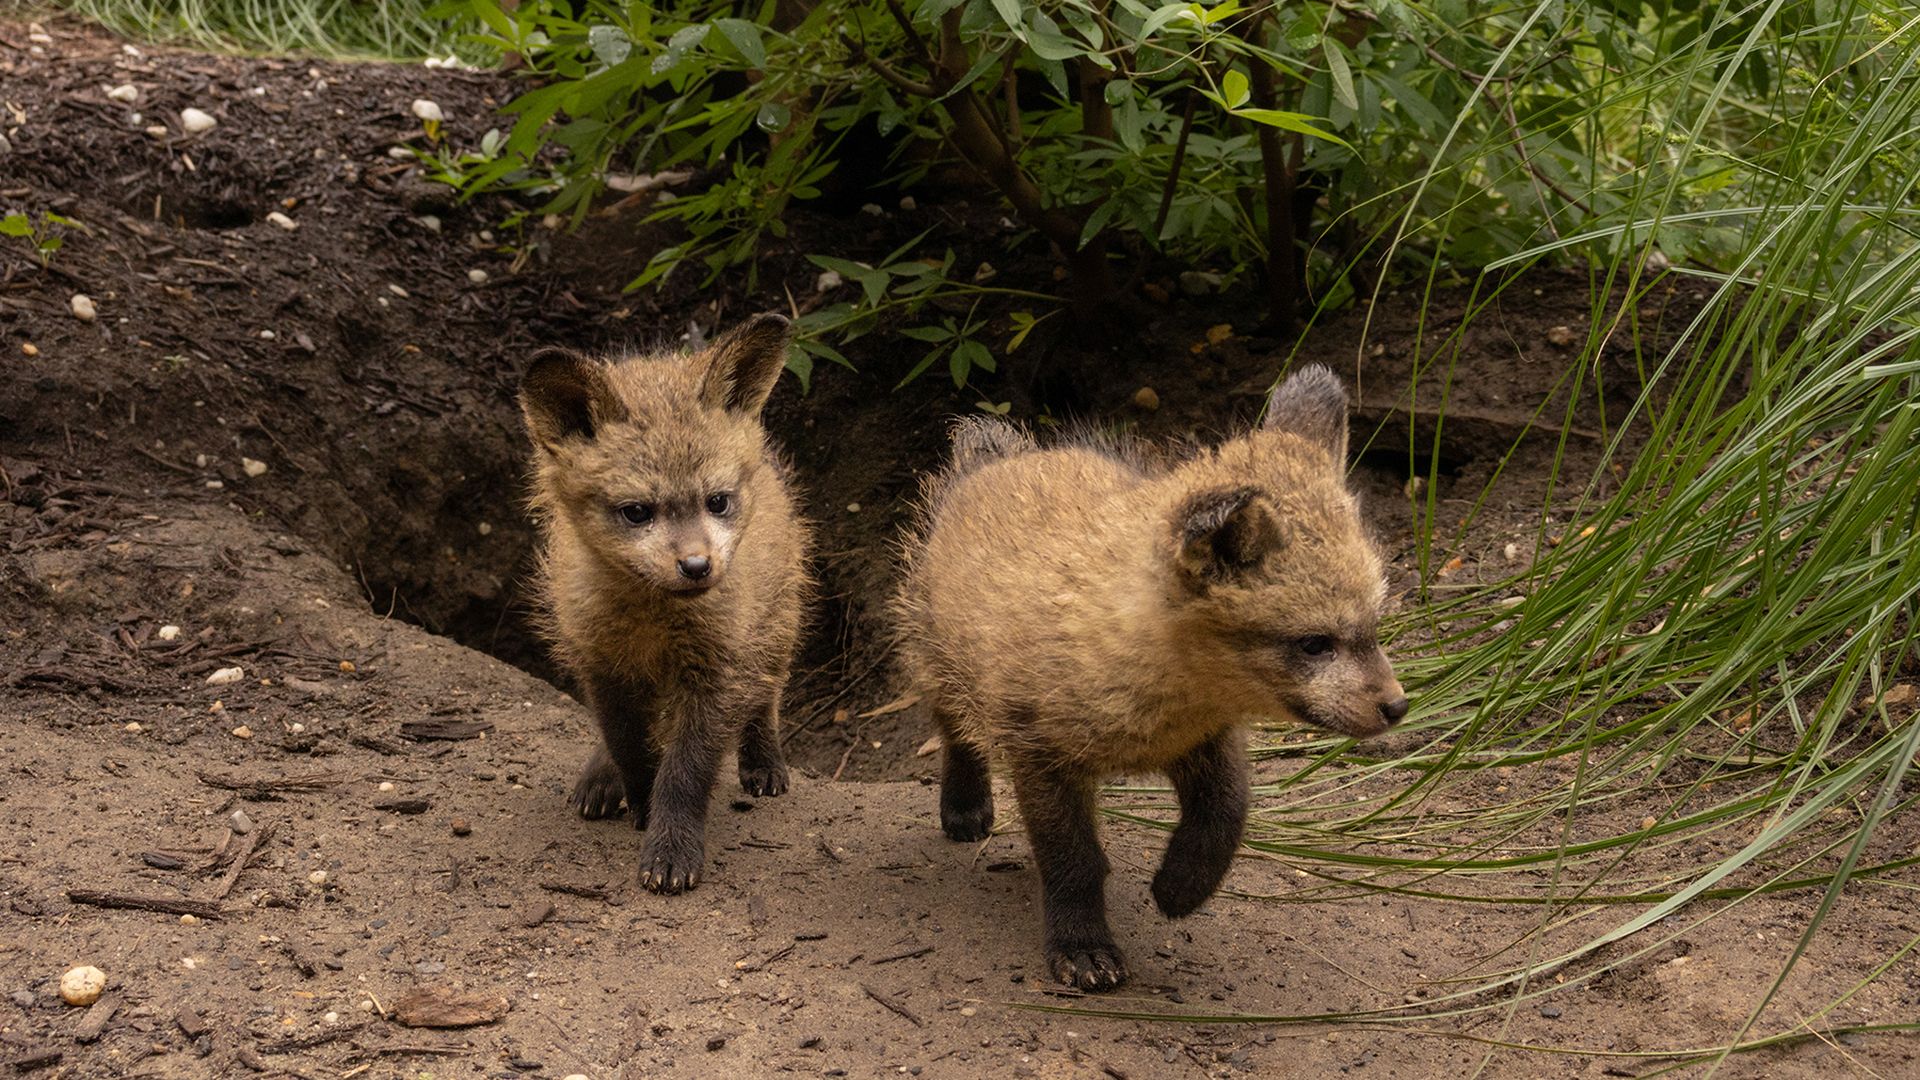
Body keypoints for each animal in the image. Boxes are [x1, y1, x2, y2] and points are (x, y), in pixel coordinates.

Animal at [518, 313, 810, 894]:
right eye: (637, 512)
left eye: (717, 501)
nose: (697, 566)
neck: (653, 622)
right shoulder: (601, 663)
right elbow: (630, 744)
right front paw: (636, 799)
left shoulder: (717, 667)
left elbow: (686, 770)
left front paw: (672, 845)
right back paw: (601, 778)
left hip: (777, 619)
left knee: (767, 693)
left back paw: (764, 763)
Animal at [893, 365, 1408, 990]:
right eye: (1314, 643)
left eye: (1375, 624)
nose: (1397, 707)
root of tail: (998, 459)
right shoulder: (1038, 752)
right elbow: (1073, 860)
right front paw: (1082, 947)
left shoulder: (1208, 738)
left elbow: (1226, 816)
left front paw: (1179, 888)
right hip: (938, 657)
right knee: (955, 727)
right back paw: (965, 807)